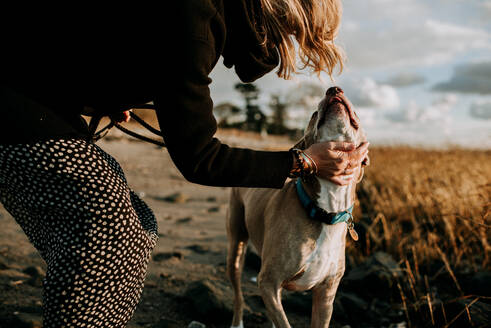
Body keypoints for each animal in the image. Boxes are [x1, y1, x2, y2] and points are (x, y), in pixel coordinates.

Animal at [227, 86, 368, 326]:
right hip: (236, 246)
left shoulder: (325, 296)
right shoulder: (268, 281)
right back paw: (237, 321)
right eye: (313, 114)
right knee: (237, 290)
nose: (334, 88)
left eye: (356, 112)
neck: (326, 211)